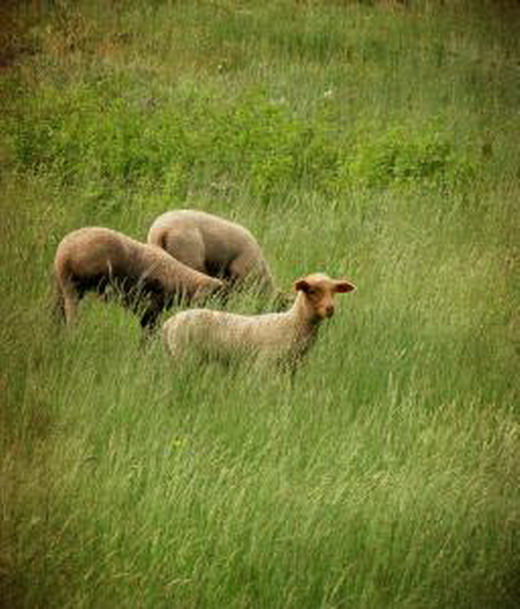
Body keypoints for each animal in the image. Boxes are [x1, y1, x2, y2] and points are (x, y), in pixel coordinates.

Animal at [162, 272, 358, 370]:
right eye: (312, 290)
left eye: (334, 291)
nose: (330, 308)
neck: (292, 323)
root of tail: (169, 323)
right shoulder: (264, 364)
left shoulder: (292, 368)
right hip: (186, 355)